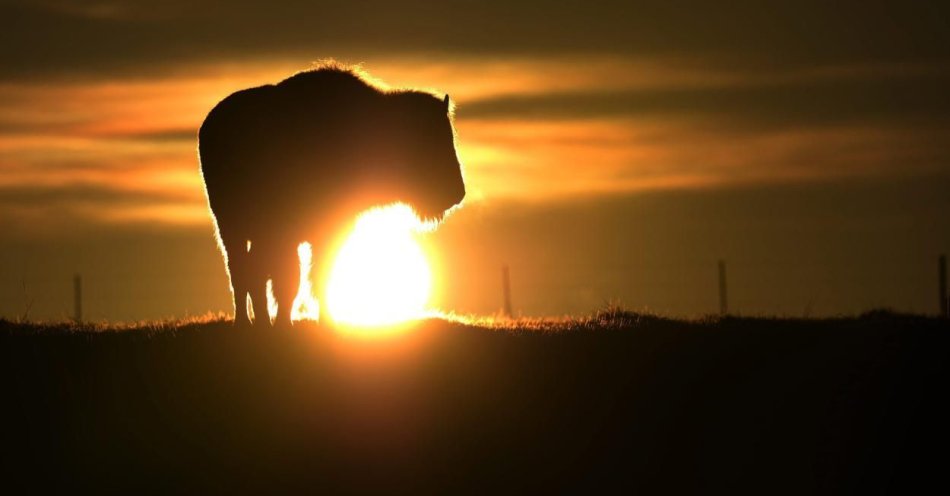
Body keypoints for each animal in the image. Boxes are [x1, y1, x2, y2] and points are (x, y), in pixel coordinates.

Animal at [199, 65, 466, 326]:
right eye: (431, 140)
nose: (458, 192)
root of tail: (208, 126)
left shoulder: (329, 231)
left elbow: (316, 275)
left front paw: (325, 322)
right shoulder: (288, 235)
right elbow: (289, 279)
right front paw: (286, 324)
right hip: (231, 228)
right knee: (241, 270)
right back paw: (246, 323)